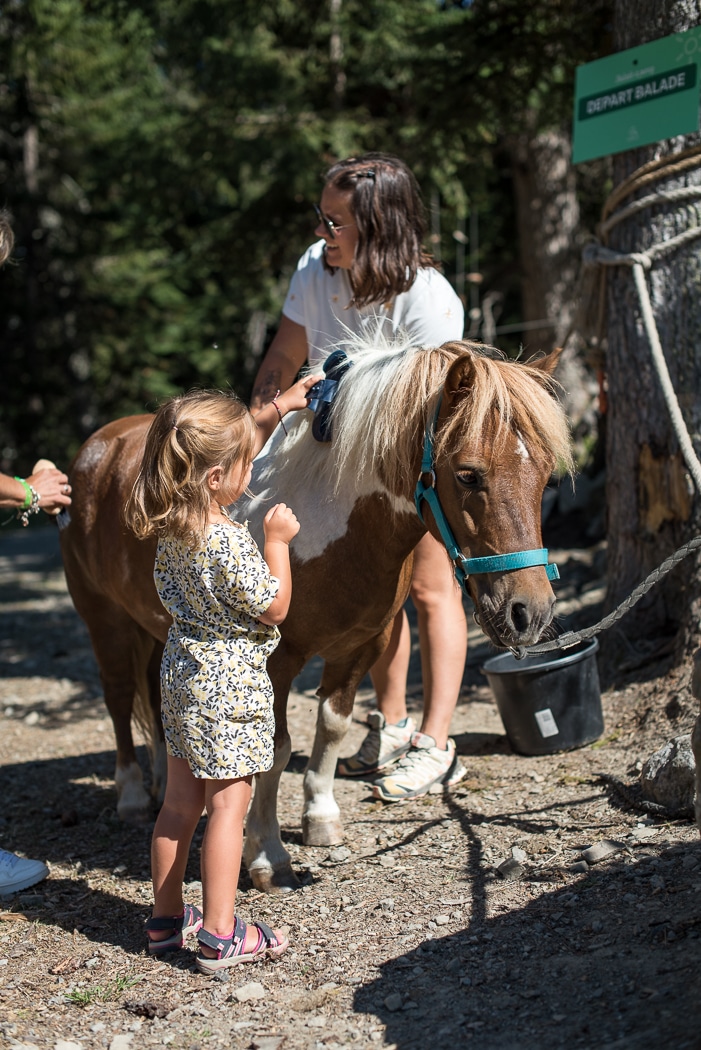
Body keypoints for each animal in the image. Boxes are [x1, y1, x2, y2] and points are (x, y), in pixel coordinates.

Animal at [60, 338, 570, 894]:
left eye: (545, 475)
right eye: (468, 474)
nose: (529, 612)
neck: (328, 523)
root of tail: (98, 447)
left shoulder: (361, 647)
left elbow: (332, 727)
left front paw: (320, 818)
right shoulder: (276, 660)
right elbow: (276, 750)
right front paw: (266, 855)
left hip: (152, 628)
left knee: (154, 701)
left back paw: (159, 783)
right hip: (104, 621)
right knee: (118, 698)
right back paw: (133, 795)